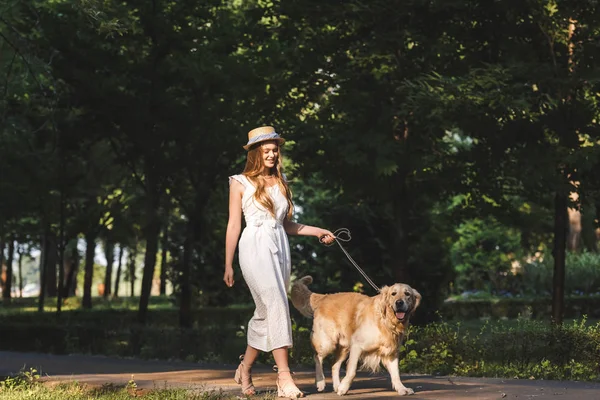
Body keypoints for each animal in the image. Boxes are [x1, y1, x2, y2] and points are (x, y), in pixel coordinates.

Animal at [290, 276, 422, 396]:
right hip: (327, 342)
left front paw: (402, 388)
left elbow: (396, 374)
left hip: (344, 348)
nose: (399, 302)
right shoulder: (357, 346)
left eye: (407, 294)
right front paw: (344, 388)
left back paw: (337, 385)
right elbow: (352, 371)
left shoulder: (391, 353)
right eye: (393, 294)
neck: (386, 320)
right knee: (317, 357)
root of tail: (325, 296)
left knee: (334, 365)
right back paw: (320, 382)